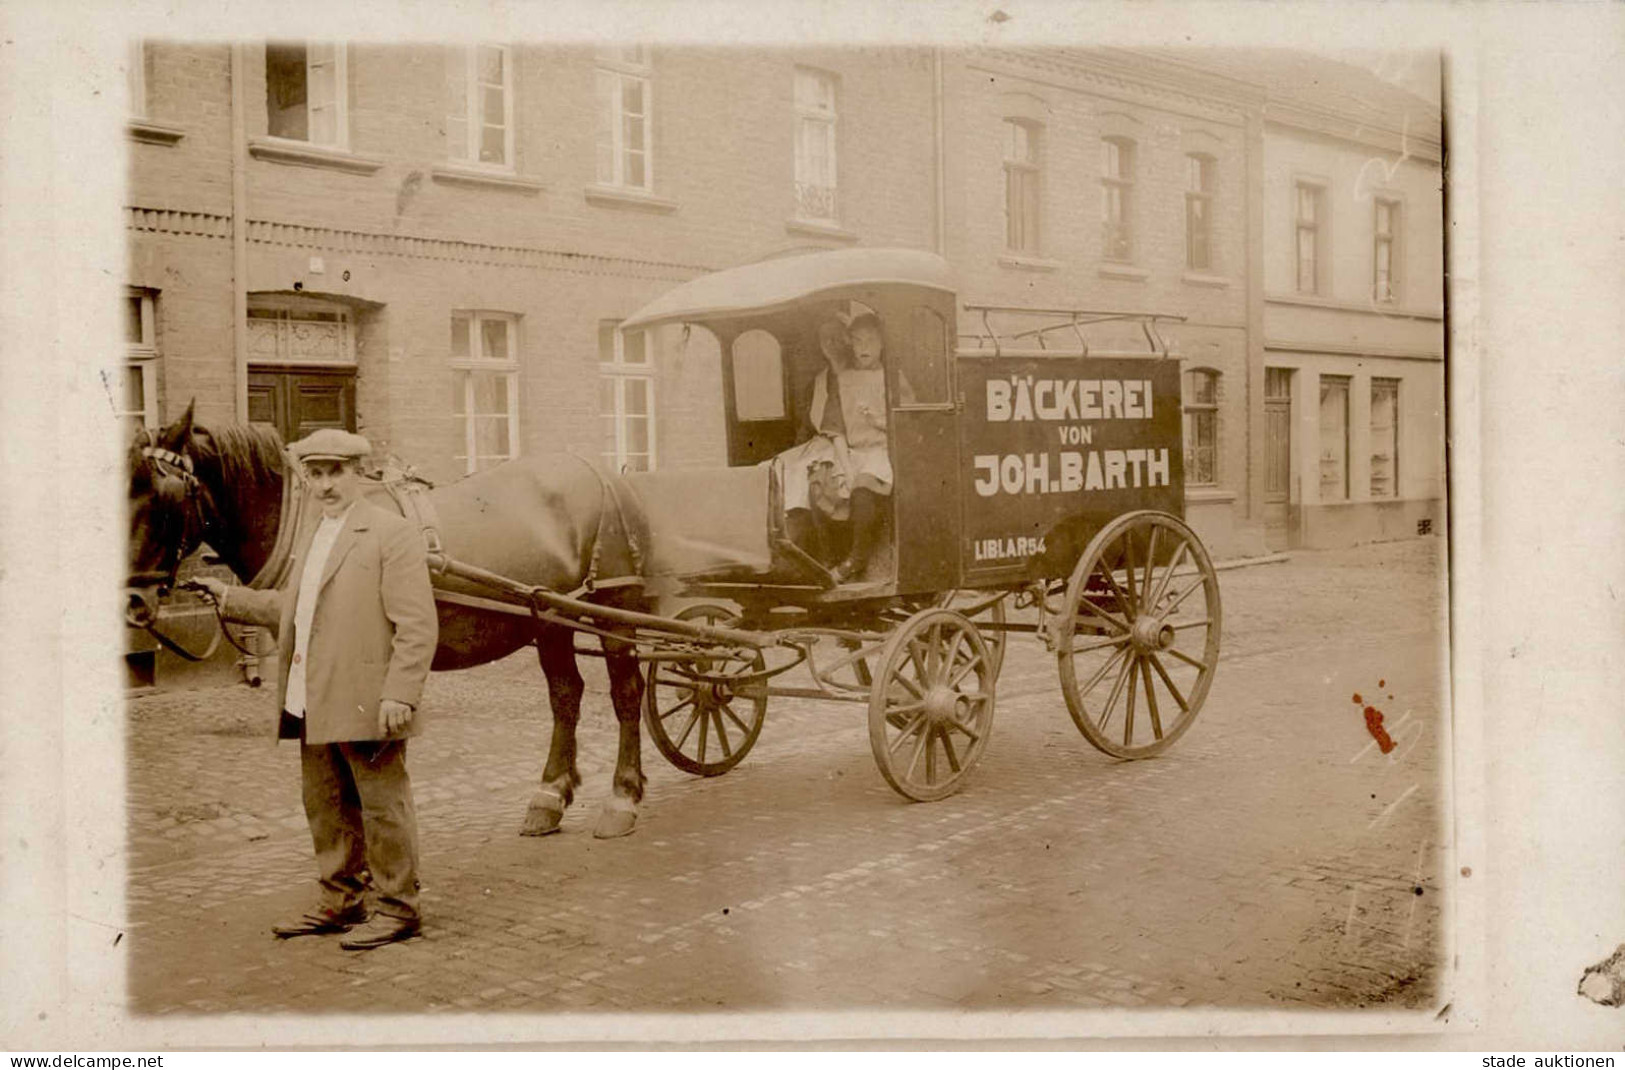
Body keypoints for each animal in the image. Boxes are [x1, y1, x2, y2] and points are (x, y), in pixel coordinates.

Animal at [123, 404, 650, 839]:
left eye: (165, 496)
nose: (132, 601)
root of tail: (603, 471)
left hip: (612, 608)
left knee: (626, 693)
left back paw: (622, 797)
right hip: (551, 617)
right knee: (566, 696)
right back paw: (549, 796)